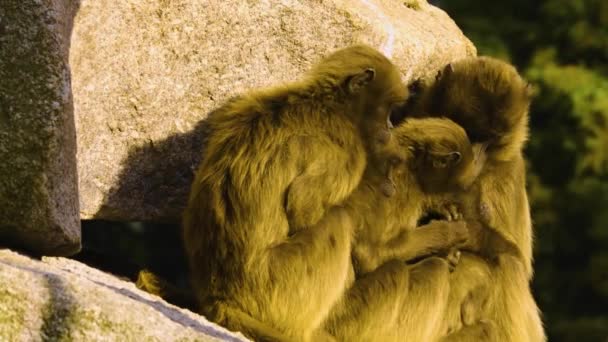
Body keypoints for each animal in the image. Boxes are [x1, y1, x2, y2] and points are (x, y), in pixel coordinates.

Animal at [179, 45, 408, 342]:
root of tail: (217, 293)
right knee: (338, 219)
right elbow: (304, 209)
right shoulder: (347, 151)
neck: (331, 105)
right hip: (280, 288)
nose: (390, 127)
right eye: (388, 111)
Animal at [404, 56, 548, 342]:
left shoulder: (509, 171)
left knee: (508, 265)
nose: (470, 160)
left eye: (488, 140)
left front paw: (461, 231)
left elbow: (518, 259)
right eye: (466, 133)